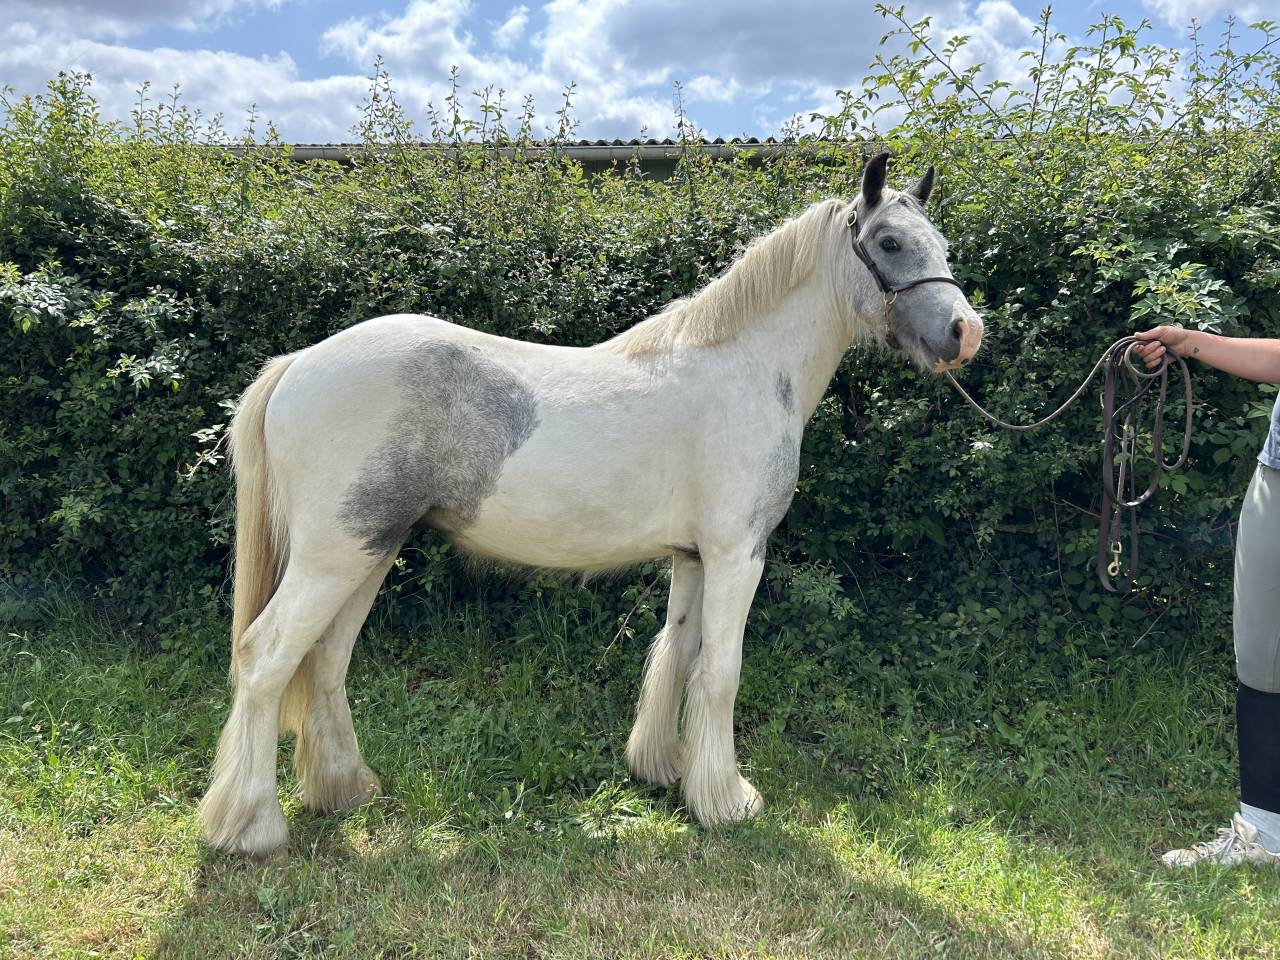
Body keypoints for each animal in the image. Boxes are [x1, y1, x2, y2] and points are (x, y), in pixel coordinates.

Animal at [198, 152, 983, 855]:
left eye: (941, 244)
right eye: (890, 242)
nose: (965, 333)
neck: (746, 369)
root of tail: (298, 363)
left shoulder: (695, 557)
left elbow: (678, 652)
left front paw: (664, 770)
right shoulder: (738, 553)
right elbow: (720, 671)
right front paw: (726, 802)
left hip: (371, 550)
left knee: (325, 659)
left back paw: (343, 790)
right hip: (334, 556)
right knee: (267, 657)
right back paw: (251, 828)